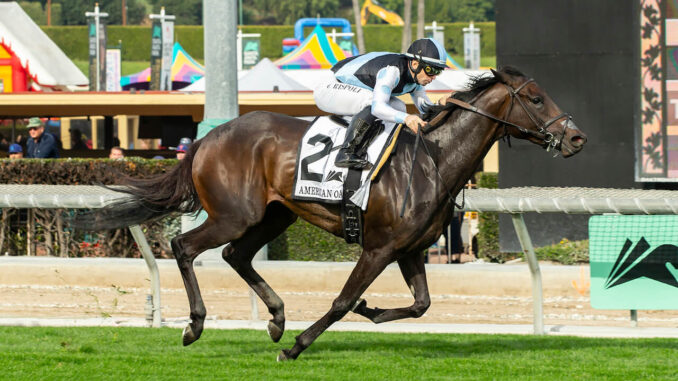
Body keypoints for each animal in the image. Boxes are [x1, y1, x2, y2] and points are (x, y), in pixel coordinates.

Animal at [74, 67, 588, 360]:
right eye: (536, 98)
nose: (577, 137)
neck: (433, 160)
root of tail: (206, 137)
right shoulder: (379, 248)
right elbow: (341, 301)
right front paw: (299, 347)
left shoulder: (411, 251)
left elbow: (420, 305)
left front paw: (368, 309)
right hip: (235, 214)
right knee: (184, 246)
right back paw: (196, 325)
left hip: (274, 215)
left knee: (236, 256)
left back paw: (277, 318)